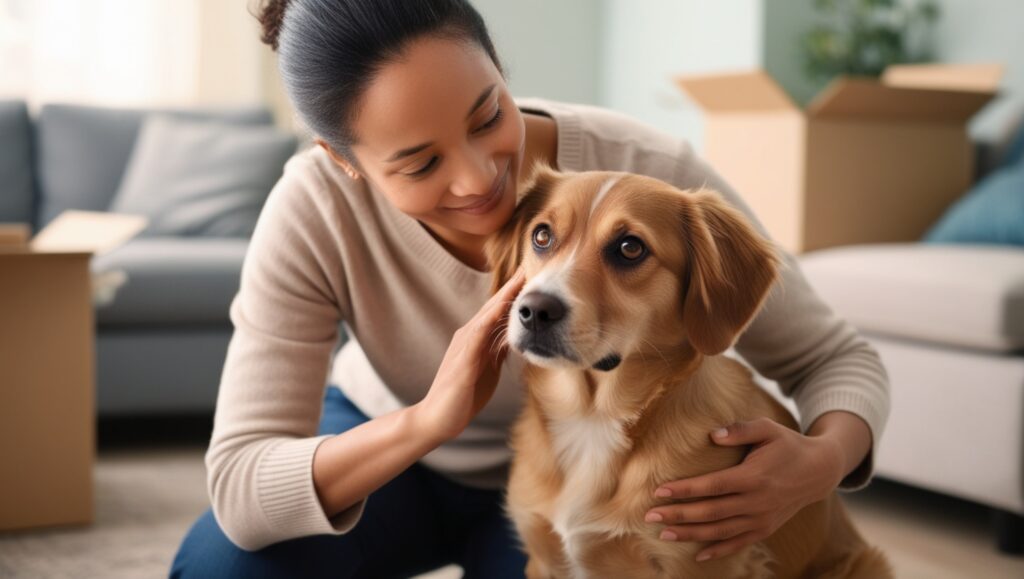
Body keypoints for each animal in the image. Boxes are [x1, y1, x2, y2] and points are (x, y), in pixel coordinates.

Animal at [481, 163, 888, 577]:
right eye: (542, 236)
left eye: (630, 248)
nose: (534, 311)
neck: (592, 417)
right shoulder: (543, 559)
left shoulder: (702, 562)